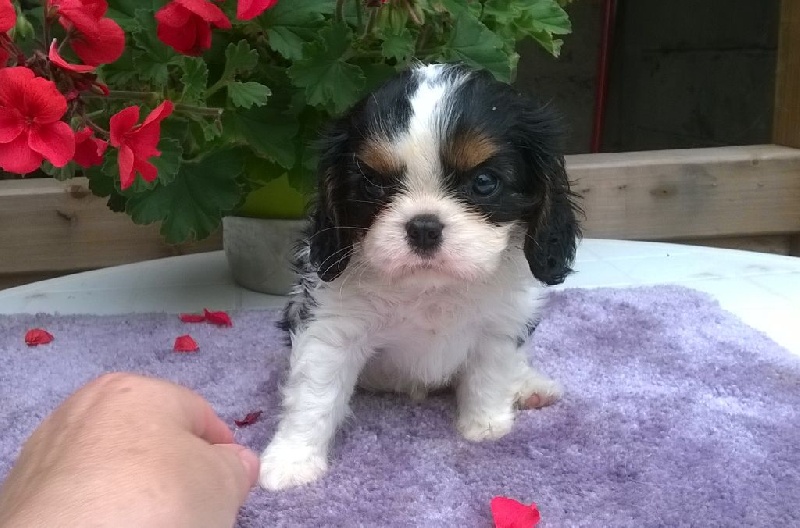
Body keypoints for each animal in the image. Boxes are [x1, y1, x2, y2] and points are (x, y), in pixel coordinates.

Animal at [259, 62, 581, 490]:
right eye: (374, 183)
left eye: (484, 182)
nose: (424, 226)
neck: (431, 288)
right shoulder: (333, 328)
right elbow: (315, 396)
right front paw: (293, 458)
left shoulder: (500, 324)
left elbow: (490, 374)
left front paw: (486, 426)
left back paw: (530, 386)